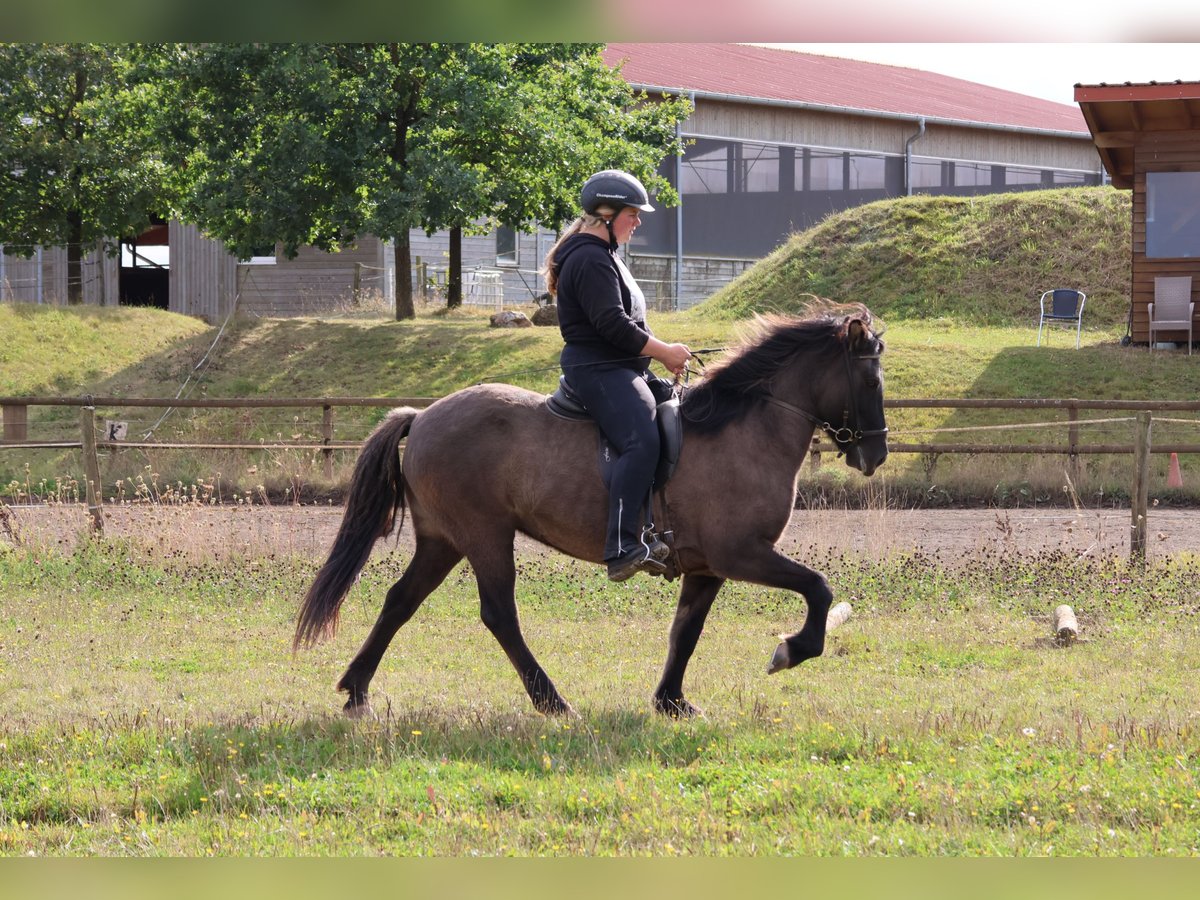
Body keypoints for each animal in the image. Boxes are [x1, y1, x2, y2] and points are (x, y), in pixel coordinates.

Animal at [295, 309, 888, 720]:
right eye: (871, 381)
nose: (876, 454)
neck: (743, 429)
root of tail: (422, 417)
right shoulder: (740, 553)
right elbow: (818, 588)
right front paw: (792, 650)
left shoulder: (705, 567)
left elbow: (686, 631)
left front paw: (671, 701)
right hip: (485, 536)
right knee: (499, 615)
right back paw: (550, 700)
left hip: (443, 540)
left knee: (400, 601)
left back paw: (356, 691)